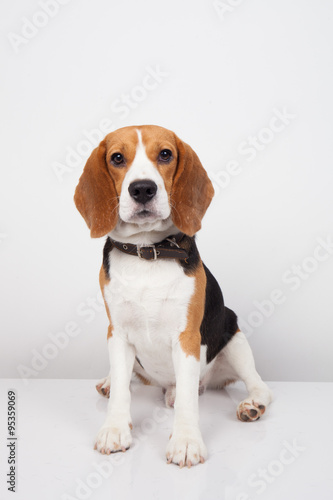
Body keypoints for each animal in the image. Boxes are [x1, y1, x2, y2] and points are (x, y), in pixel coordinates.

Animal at [74, 125, 272, 468]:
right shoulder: (118, 332)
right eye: (117, 158)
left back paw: (251, 405)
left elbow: (188, 402)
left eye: (165, 154)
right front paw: (114, 430)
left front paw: (186, 442)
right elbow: (122, 392)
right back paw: (113, 382)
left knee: (257, 384)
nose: (142, 189)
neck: (147, 253)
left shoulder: (187, 337)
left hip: (234, 336)